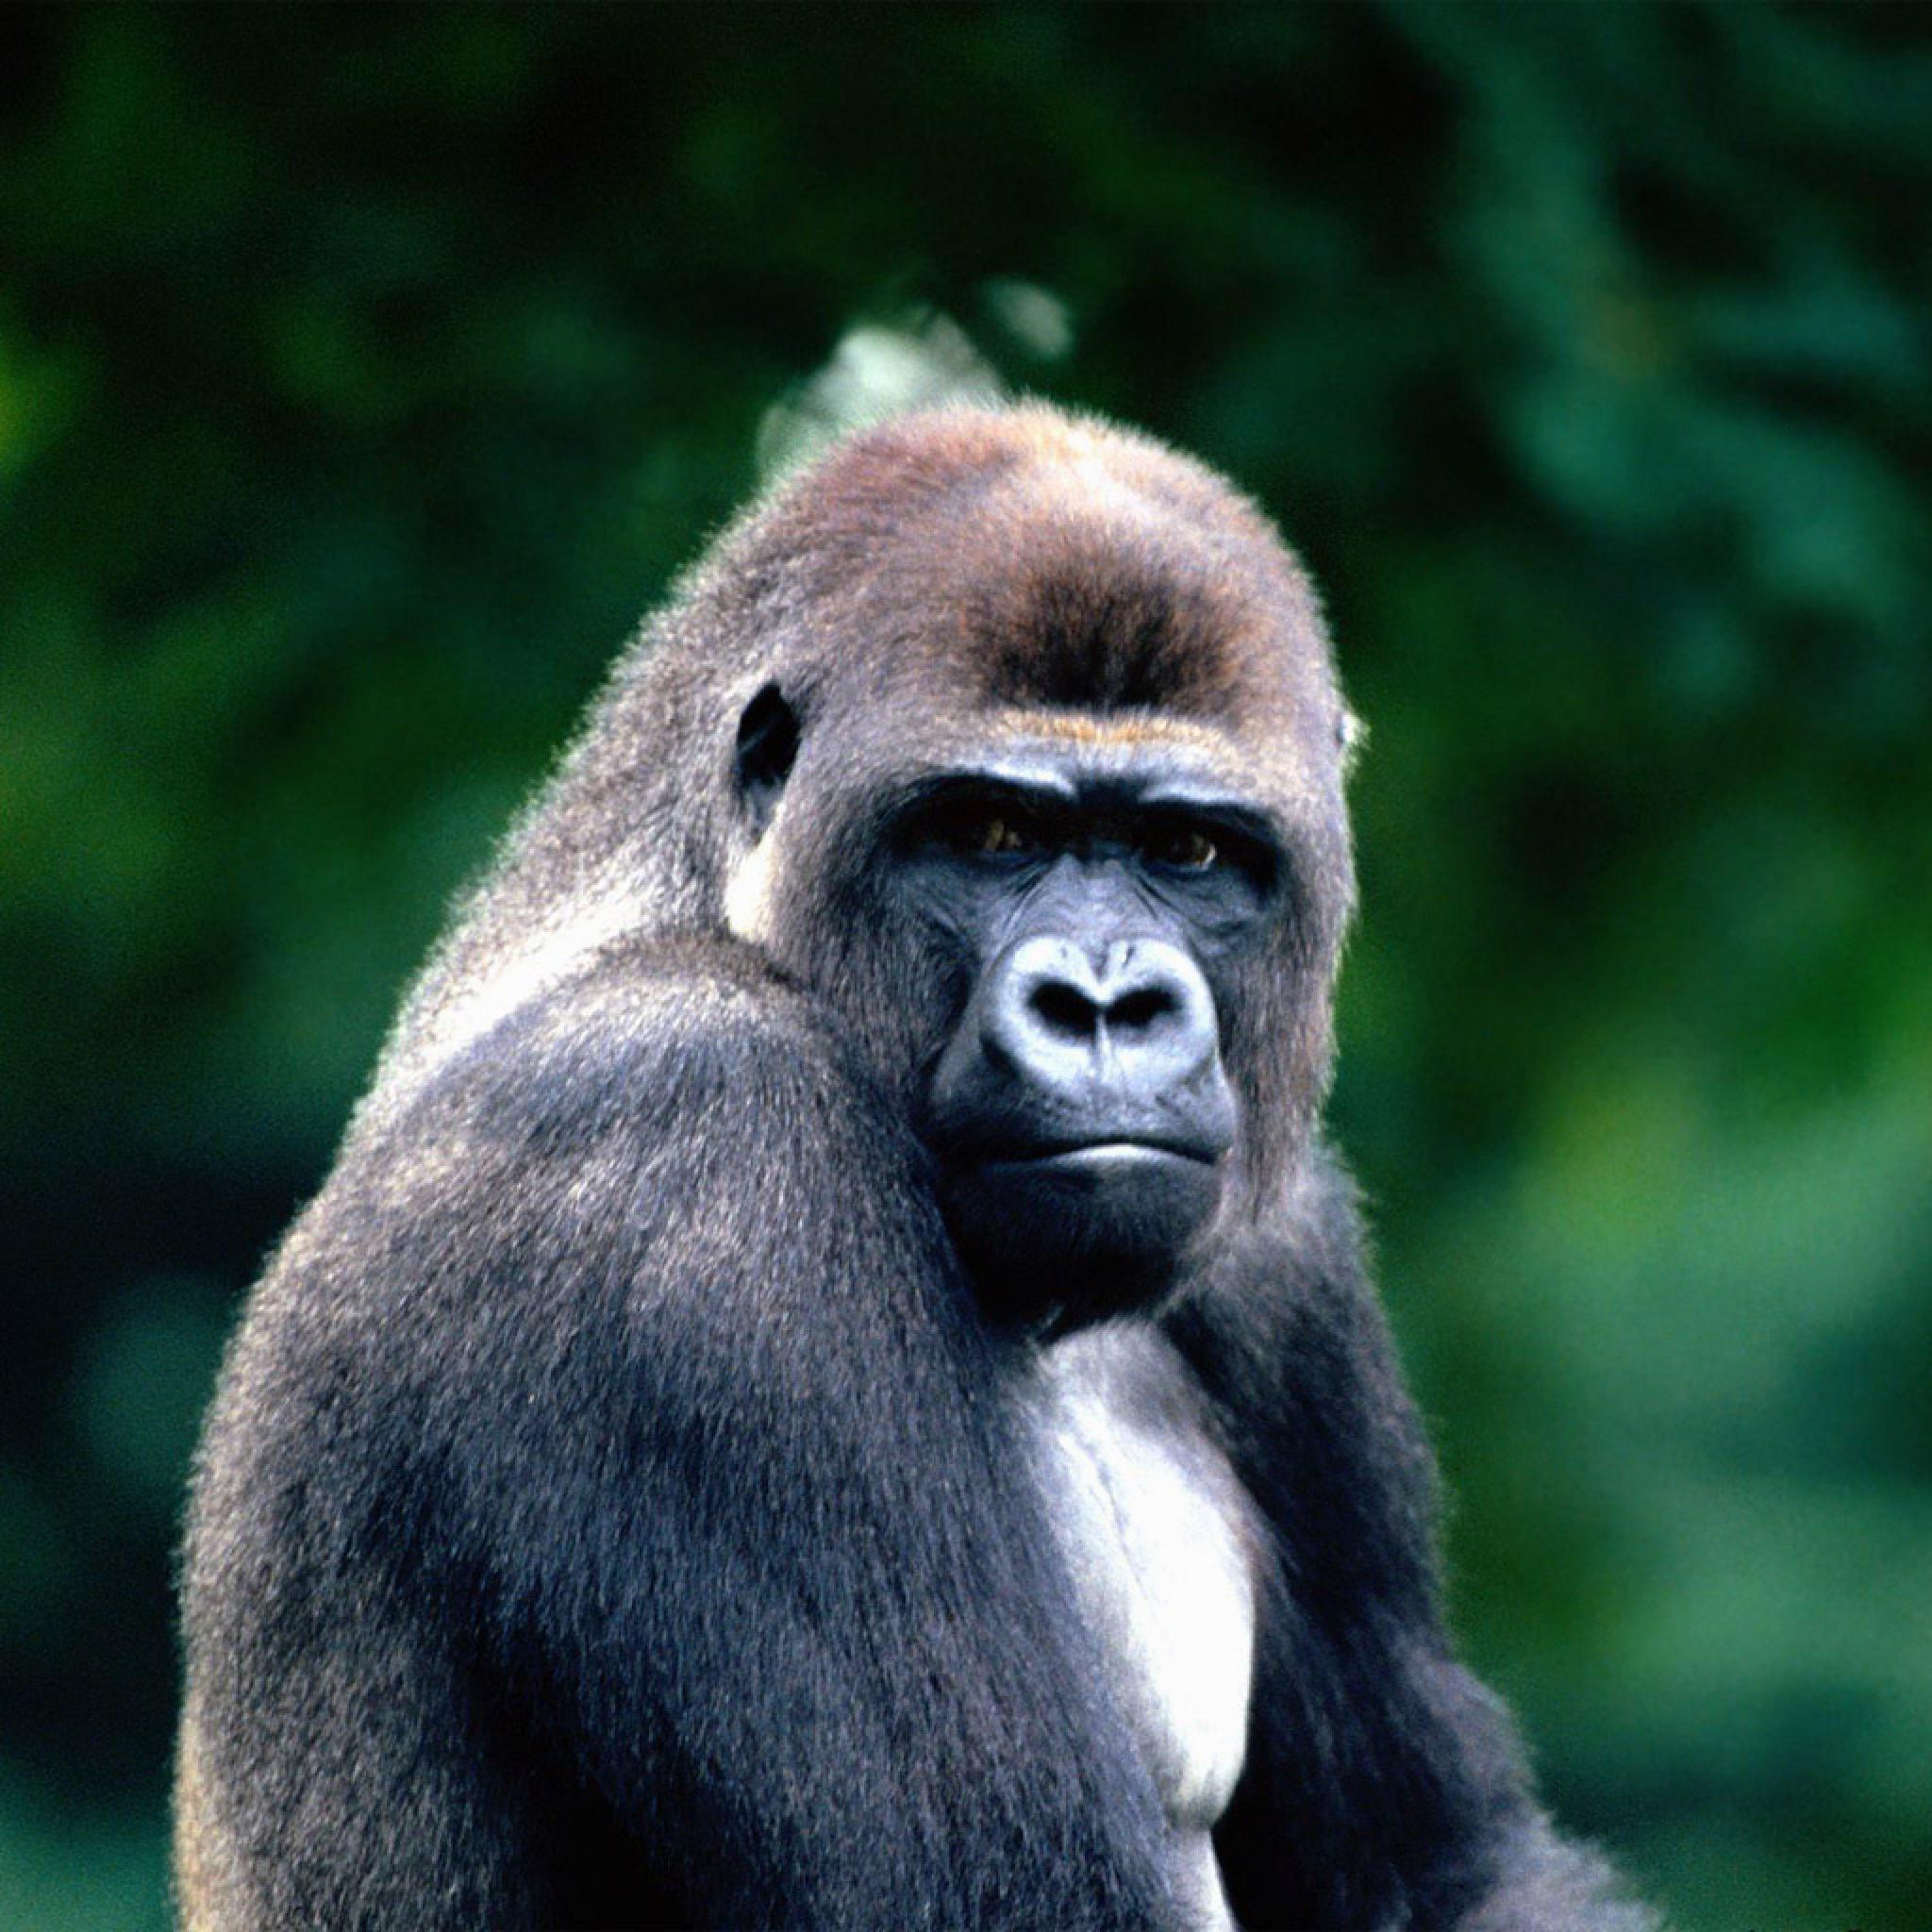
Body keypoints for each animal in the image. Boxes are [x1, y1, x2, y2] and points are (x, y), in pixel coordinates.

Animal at [174, 402, 1654, 1930]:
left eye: (1189, 849)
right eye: (992, 833)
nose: (1108, 1003)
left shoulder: (1285, 1244)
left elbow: (1447, 1862)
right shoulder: (691, 1149)